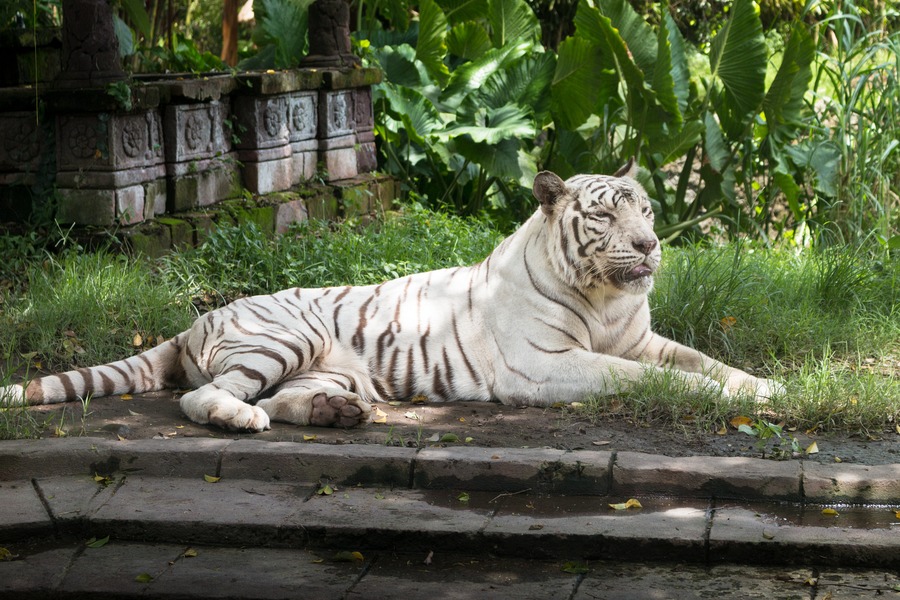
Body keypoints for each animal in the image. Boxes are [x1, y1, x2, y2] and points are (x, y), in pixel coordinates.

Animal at [0, 161, 783, 432]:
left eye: (645, 210)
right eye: (605, 217)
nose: (649, 246)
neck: (605, 299)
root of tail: (199, 319)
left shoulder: (642, 337)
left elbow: (707, 362)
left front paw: (770, 387)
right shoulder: (548, 366)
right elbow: (651, 379)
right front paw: (726, 397)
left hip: (325, 362)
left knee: (281, 395)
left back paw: (335, 412)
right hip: (279, 336)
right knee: (205, 398)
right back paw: (245, 421)